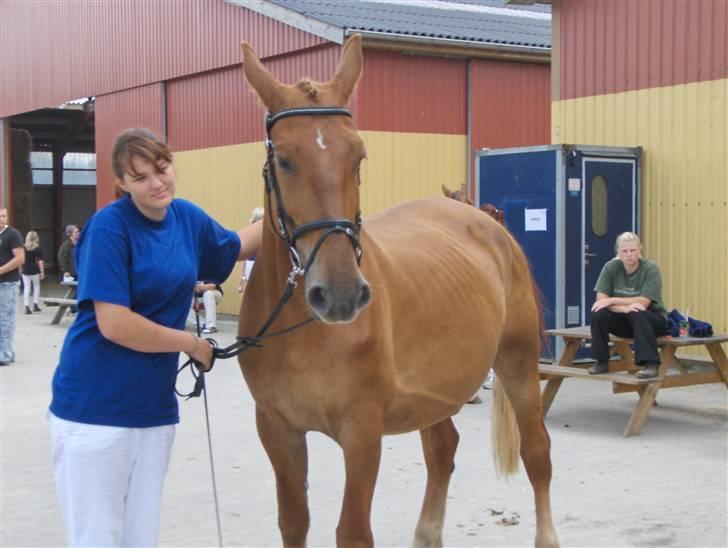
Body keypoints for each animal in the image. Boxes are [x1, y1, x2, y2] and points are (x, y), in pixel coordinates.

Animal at [239, 36, 556, 544]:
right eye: (283, 160)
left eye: (358, 157)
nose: (341, 295)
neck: (302, 332)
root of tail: (489, 226)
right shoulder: (276, 429)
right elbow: (293, 521)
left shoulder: (362, 431)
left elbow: (352, 531)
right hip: (437, 389)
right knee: (443, 450)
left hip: (518, 361)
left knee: (537, 454)